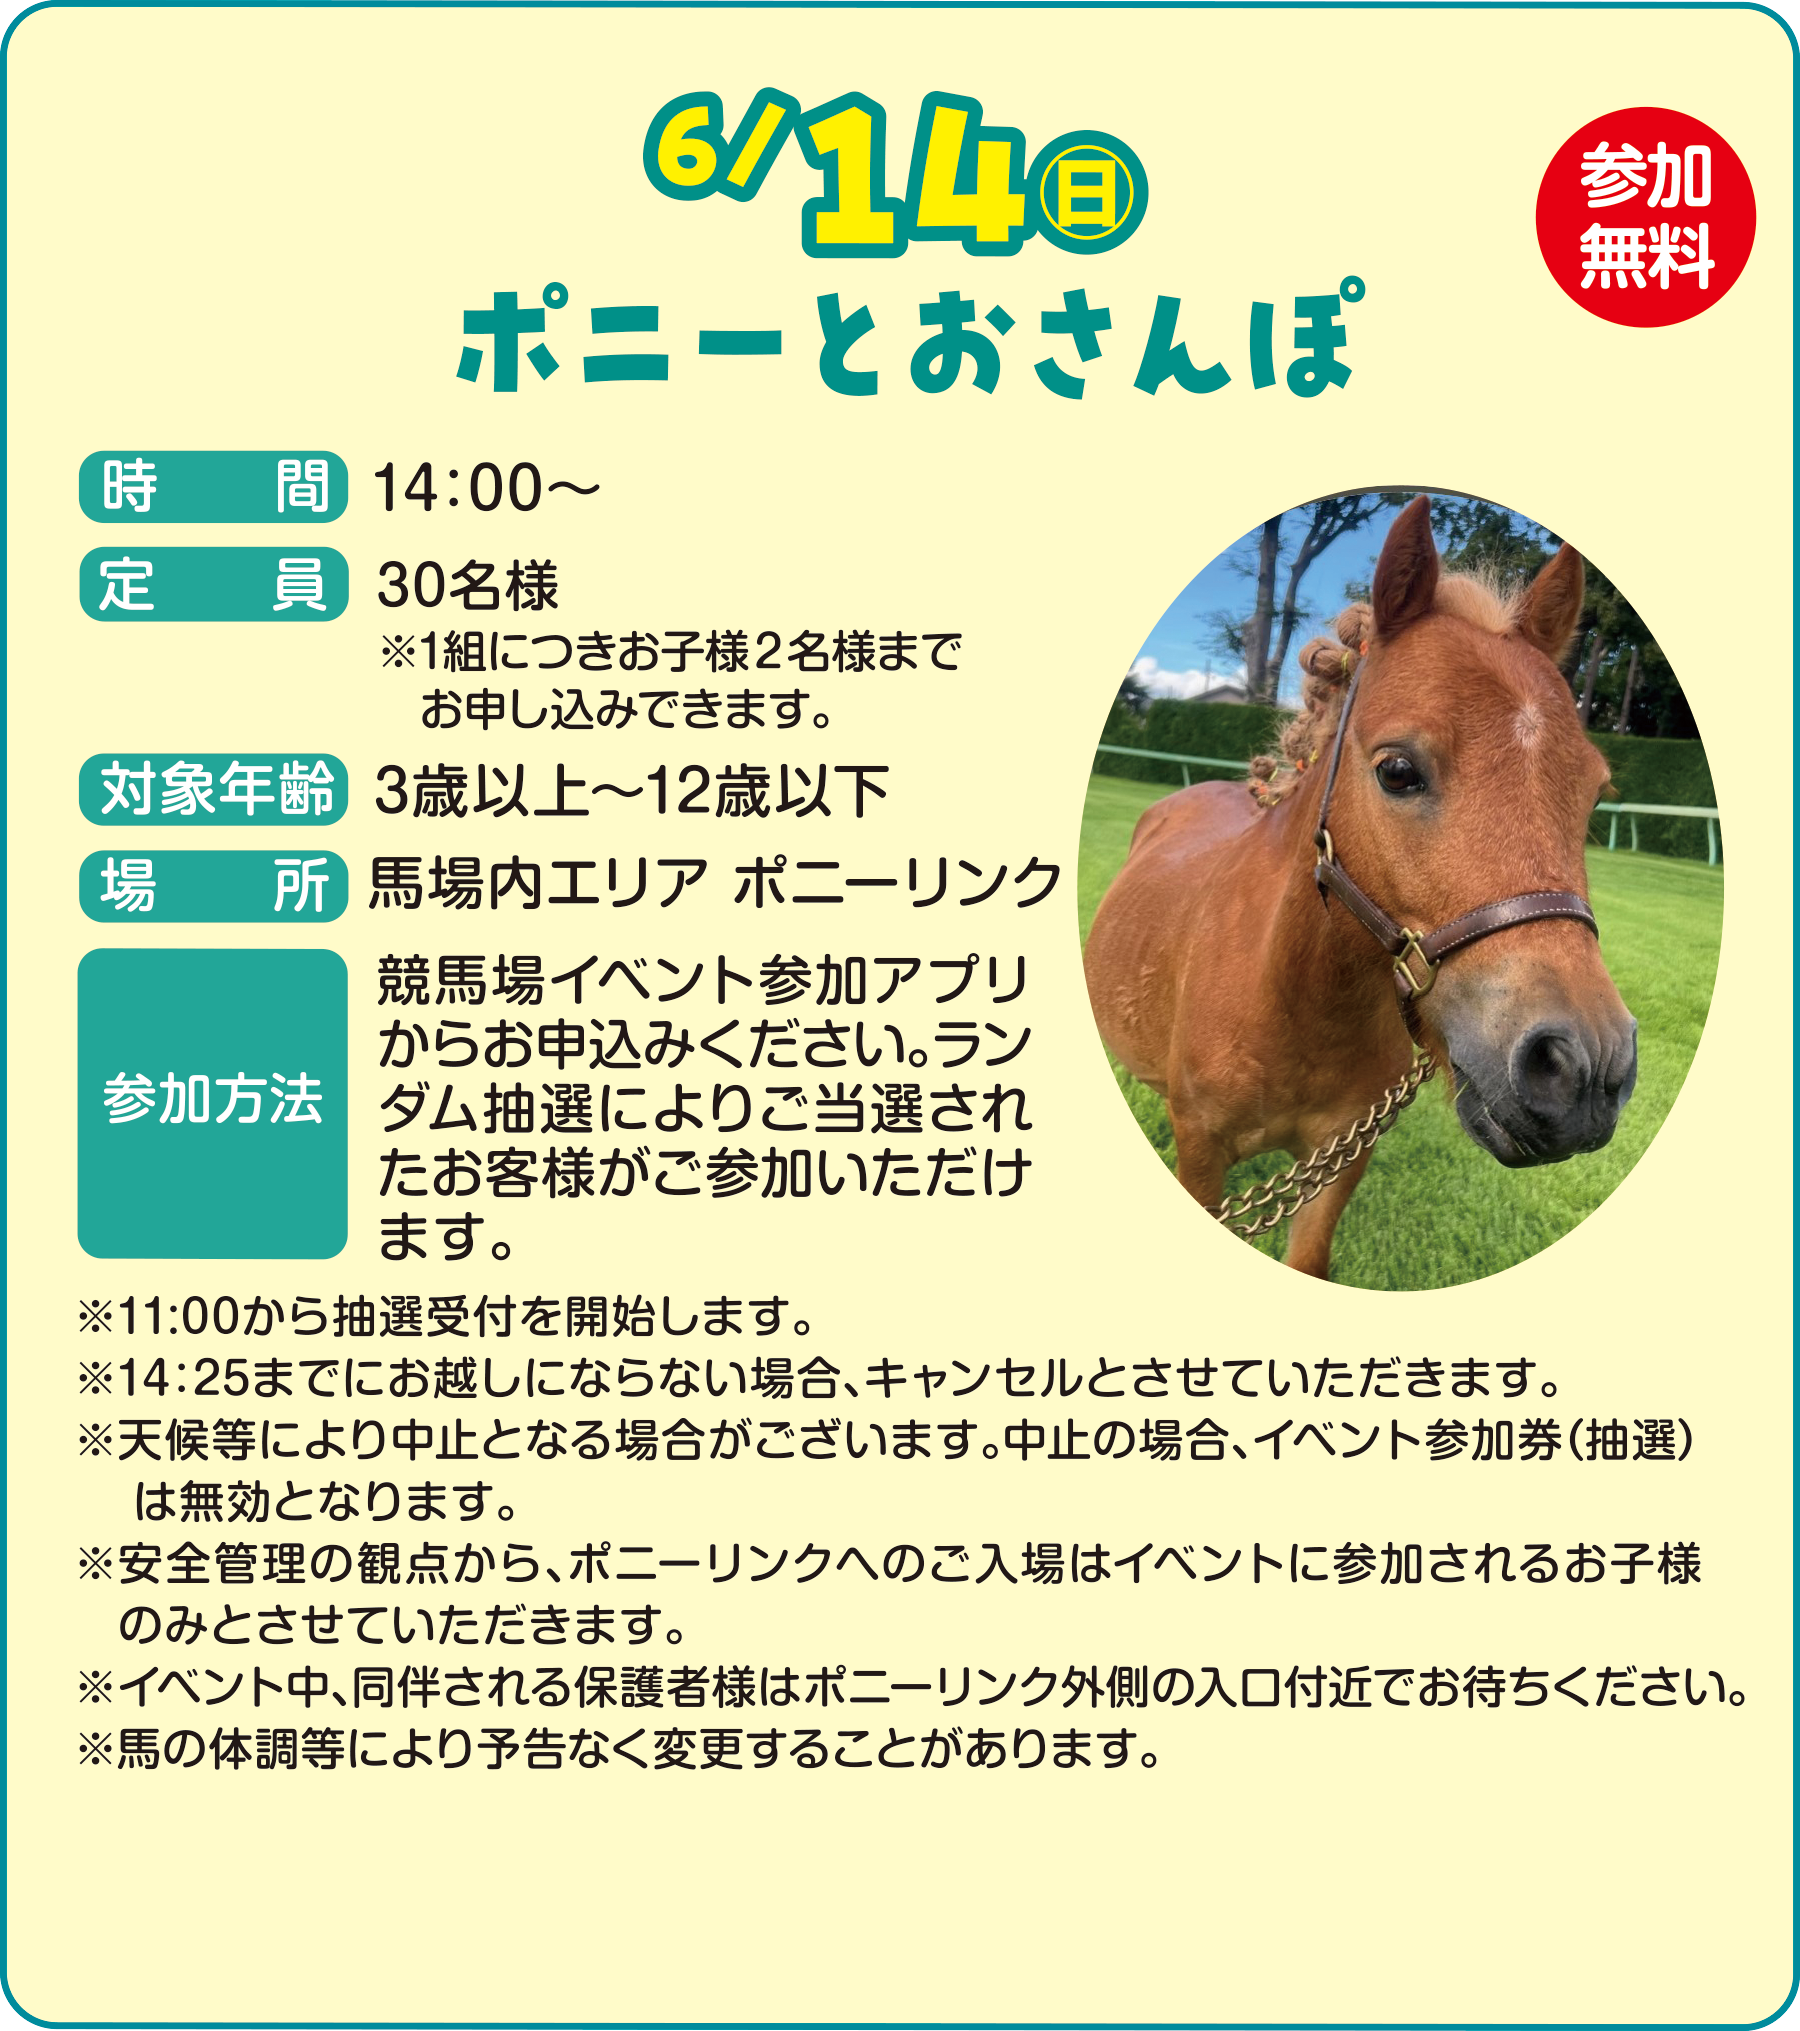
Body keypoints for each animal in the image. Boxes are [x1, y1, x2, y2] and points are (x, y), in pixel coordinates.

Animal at [1083, 495, 1639, 1281]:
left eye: (1593, 793)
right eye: (1397, 770)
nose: (1583, 1070)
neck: (1296, 1001)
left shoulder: (1343, 1158)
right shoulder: (1200, 1155)